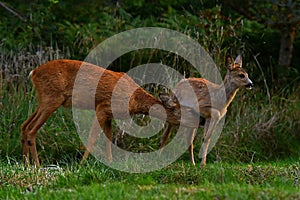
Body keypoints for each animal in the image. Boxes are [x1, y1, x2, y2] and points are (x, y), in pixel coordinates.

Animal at [21, 59, 199, 167]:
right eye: (188, 110)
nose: (199, 121)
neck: (134, 100)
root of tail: (33, 72)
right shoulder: (103, 107)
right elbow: (93, 136)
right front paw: (82, 164)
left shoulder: (109, 115)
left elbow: (108, 137)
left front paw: (110, 162)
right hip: (51, 98)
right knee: (31, 129)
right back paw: (37, 165)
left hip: (44, 99)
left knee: (24, 125)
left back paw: (26, 163)